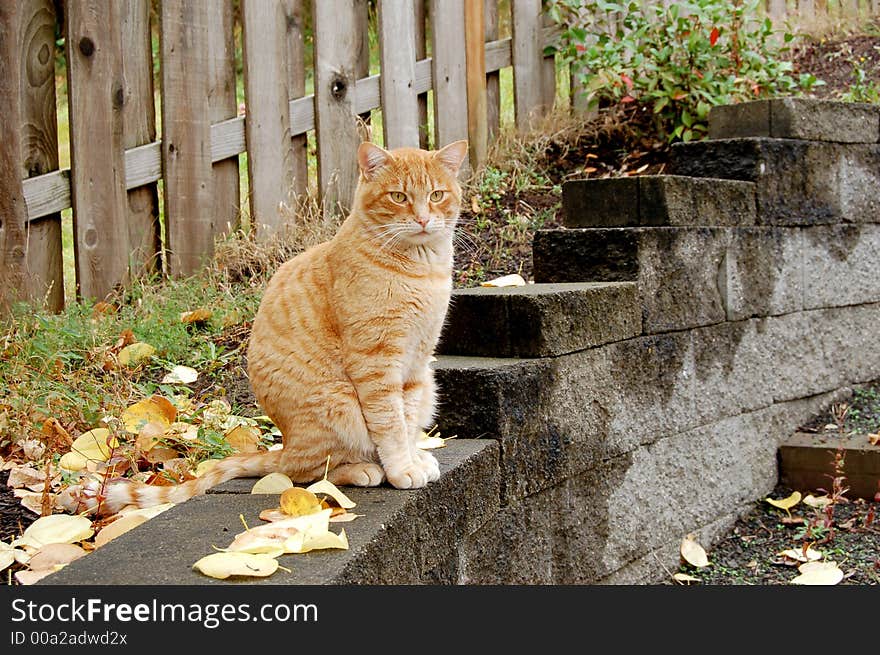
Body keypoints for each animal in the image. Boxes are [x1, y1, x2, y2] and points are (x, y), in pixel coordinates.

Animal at [91, 140, 468, 512]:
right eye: (399, 197)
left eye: (436, 195)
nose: (422, 219)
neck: (421, 268)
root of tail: (284, 445)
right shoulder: (376, 362)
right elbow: (390, 425)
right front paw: (401, 469)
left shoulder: (417, 362)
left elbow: (406, 421)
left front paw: (412, 459)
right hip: (338, 402)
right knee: (305, 473)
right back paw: (363, 469)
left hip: (426, 386)